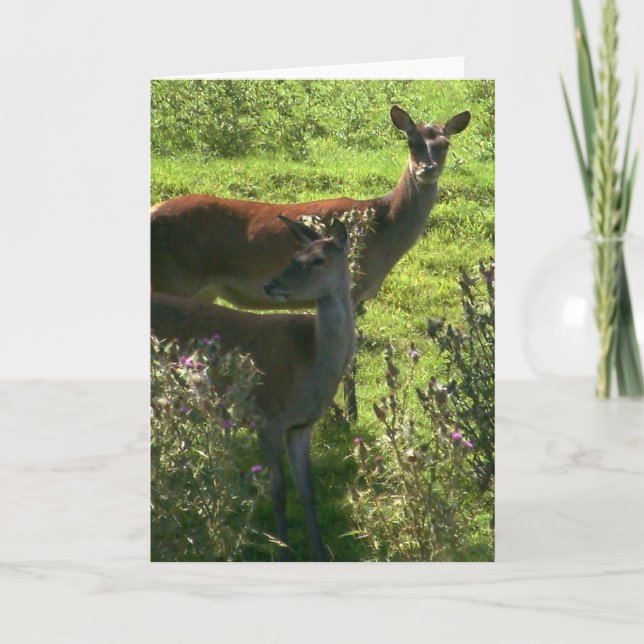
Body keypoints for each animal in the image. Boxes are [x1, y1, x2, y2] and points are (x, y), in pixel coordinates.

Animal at [151, 105, 470, 418]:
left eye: (444, 144)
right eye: (411, 142)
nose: (427, 169)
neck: (382, 232)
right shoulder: (351, 288)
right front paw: (351, 413)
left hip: (202, 291)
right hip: (170, 278)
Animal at [151, 217, 354, 561]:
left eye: (318, 260)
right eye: (293, 257)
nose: (270, 285)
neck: (311, 361)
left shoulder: (301, 426)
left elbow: (307, 491)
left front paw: (319, 552)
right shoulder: (267, 417)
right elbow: (278, 492)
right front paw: (284, 551)